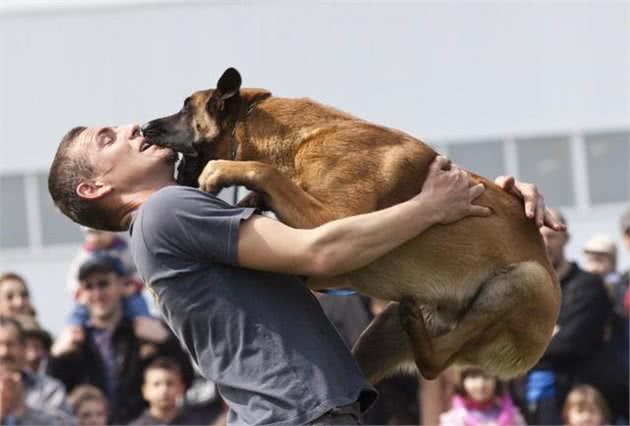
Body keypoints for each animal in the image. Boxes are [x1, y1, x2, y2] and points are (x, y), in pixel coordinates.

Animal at [141, 69, 560, 382]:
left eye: (185, 108)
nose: (144, 127)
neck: (296, 141)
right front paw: (249, 199)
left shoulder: (332, 220)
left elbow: (264, 174)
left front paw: (223, 174)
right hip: (381, 332)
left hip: (525, 280)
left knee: (433, 364)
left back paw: (419, 331)